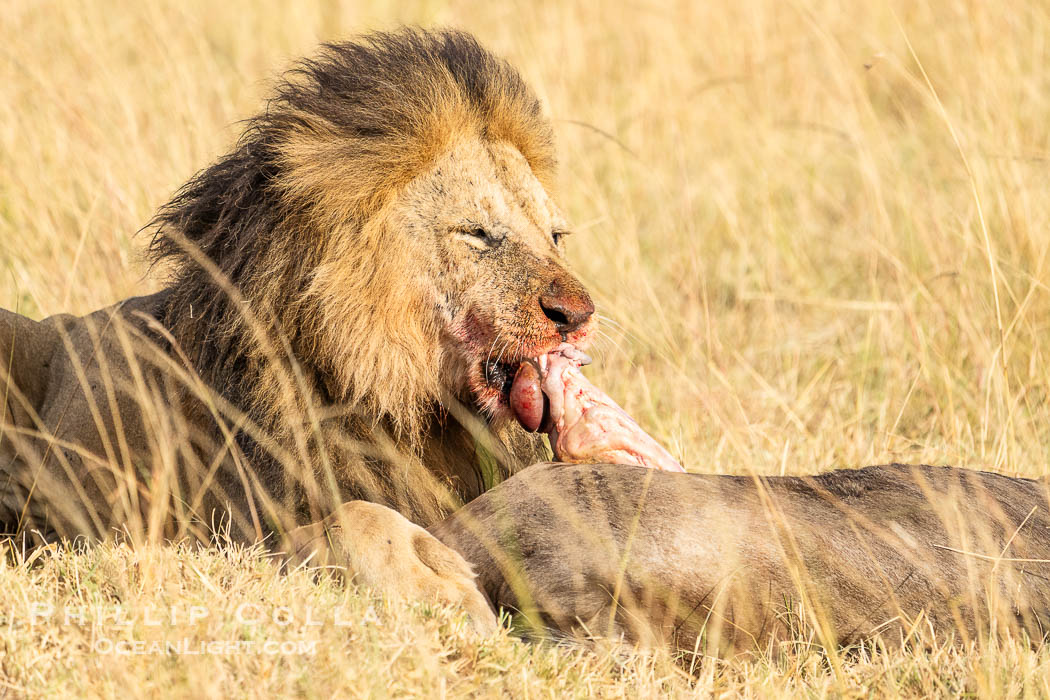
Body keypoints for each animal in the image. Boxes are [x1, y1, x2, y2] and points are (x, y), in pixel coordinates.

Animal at [2, 28, 1050, 650]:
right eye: (479, 233)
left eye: (556, 235)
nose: (577, 313)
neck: (379, 395)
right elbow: (333, 529)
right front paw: (434, 588)